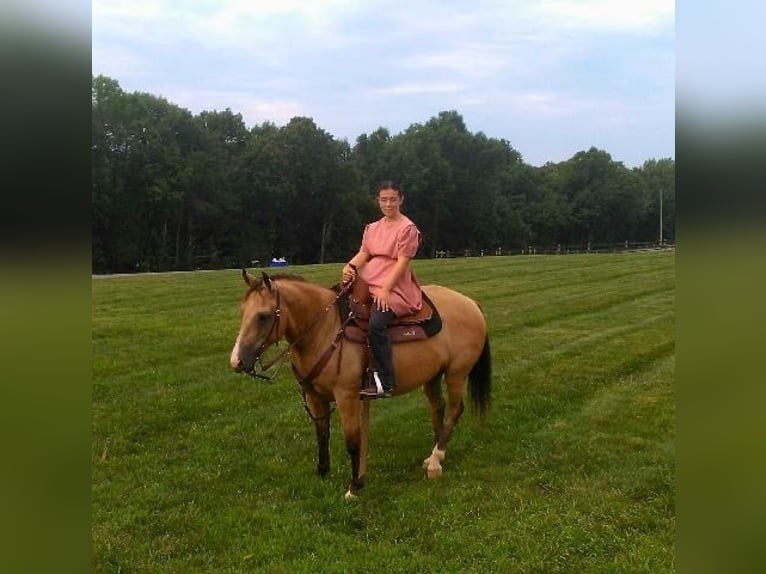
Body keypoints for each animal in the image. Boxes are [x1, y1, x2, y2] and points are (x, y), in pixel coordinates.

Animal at [230, 270, 492, 500]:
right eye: (243, 311)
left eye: (263, 316)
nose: (237, 361)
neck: (326, 329)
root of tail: (471, 303)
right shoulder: (315, 396)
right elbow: (322, 434)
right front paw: (322, 473)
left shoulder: (347, 396)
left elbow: (353, 440)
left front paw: (355, 486)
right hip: (432, 376)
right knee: (438, 408)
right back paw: (435, 456)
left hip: (456, 373)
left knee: (454, 410)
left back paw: (436, 462)